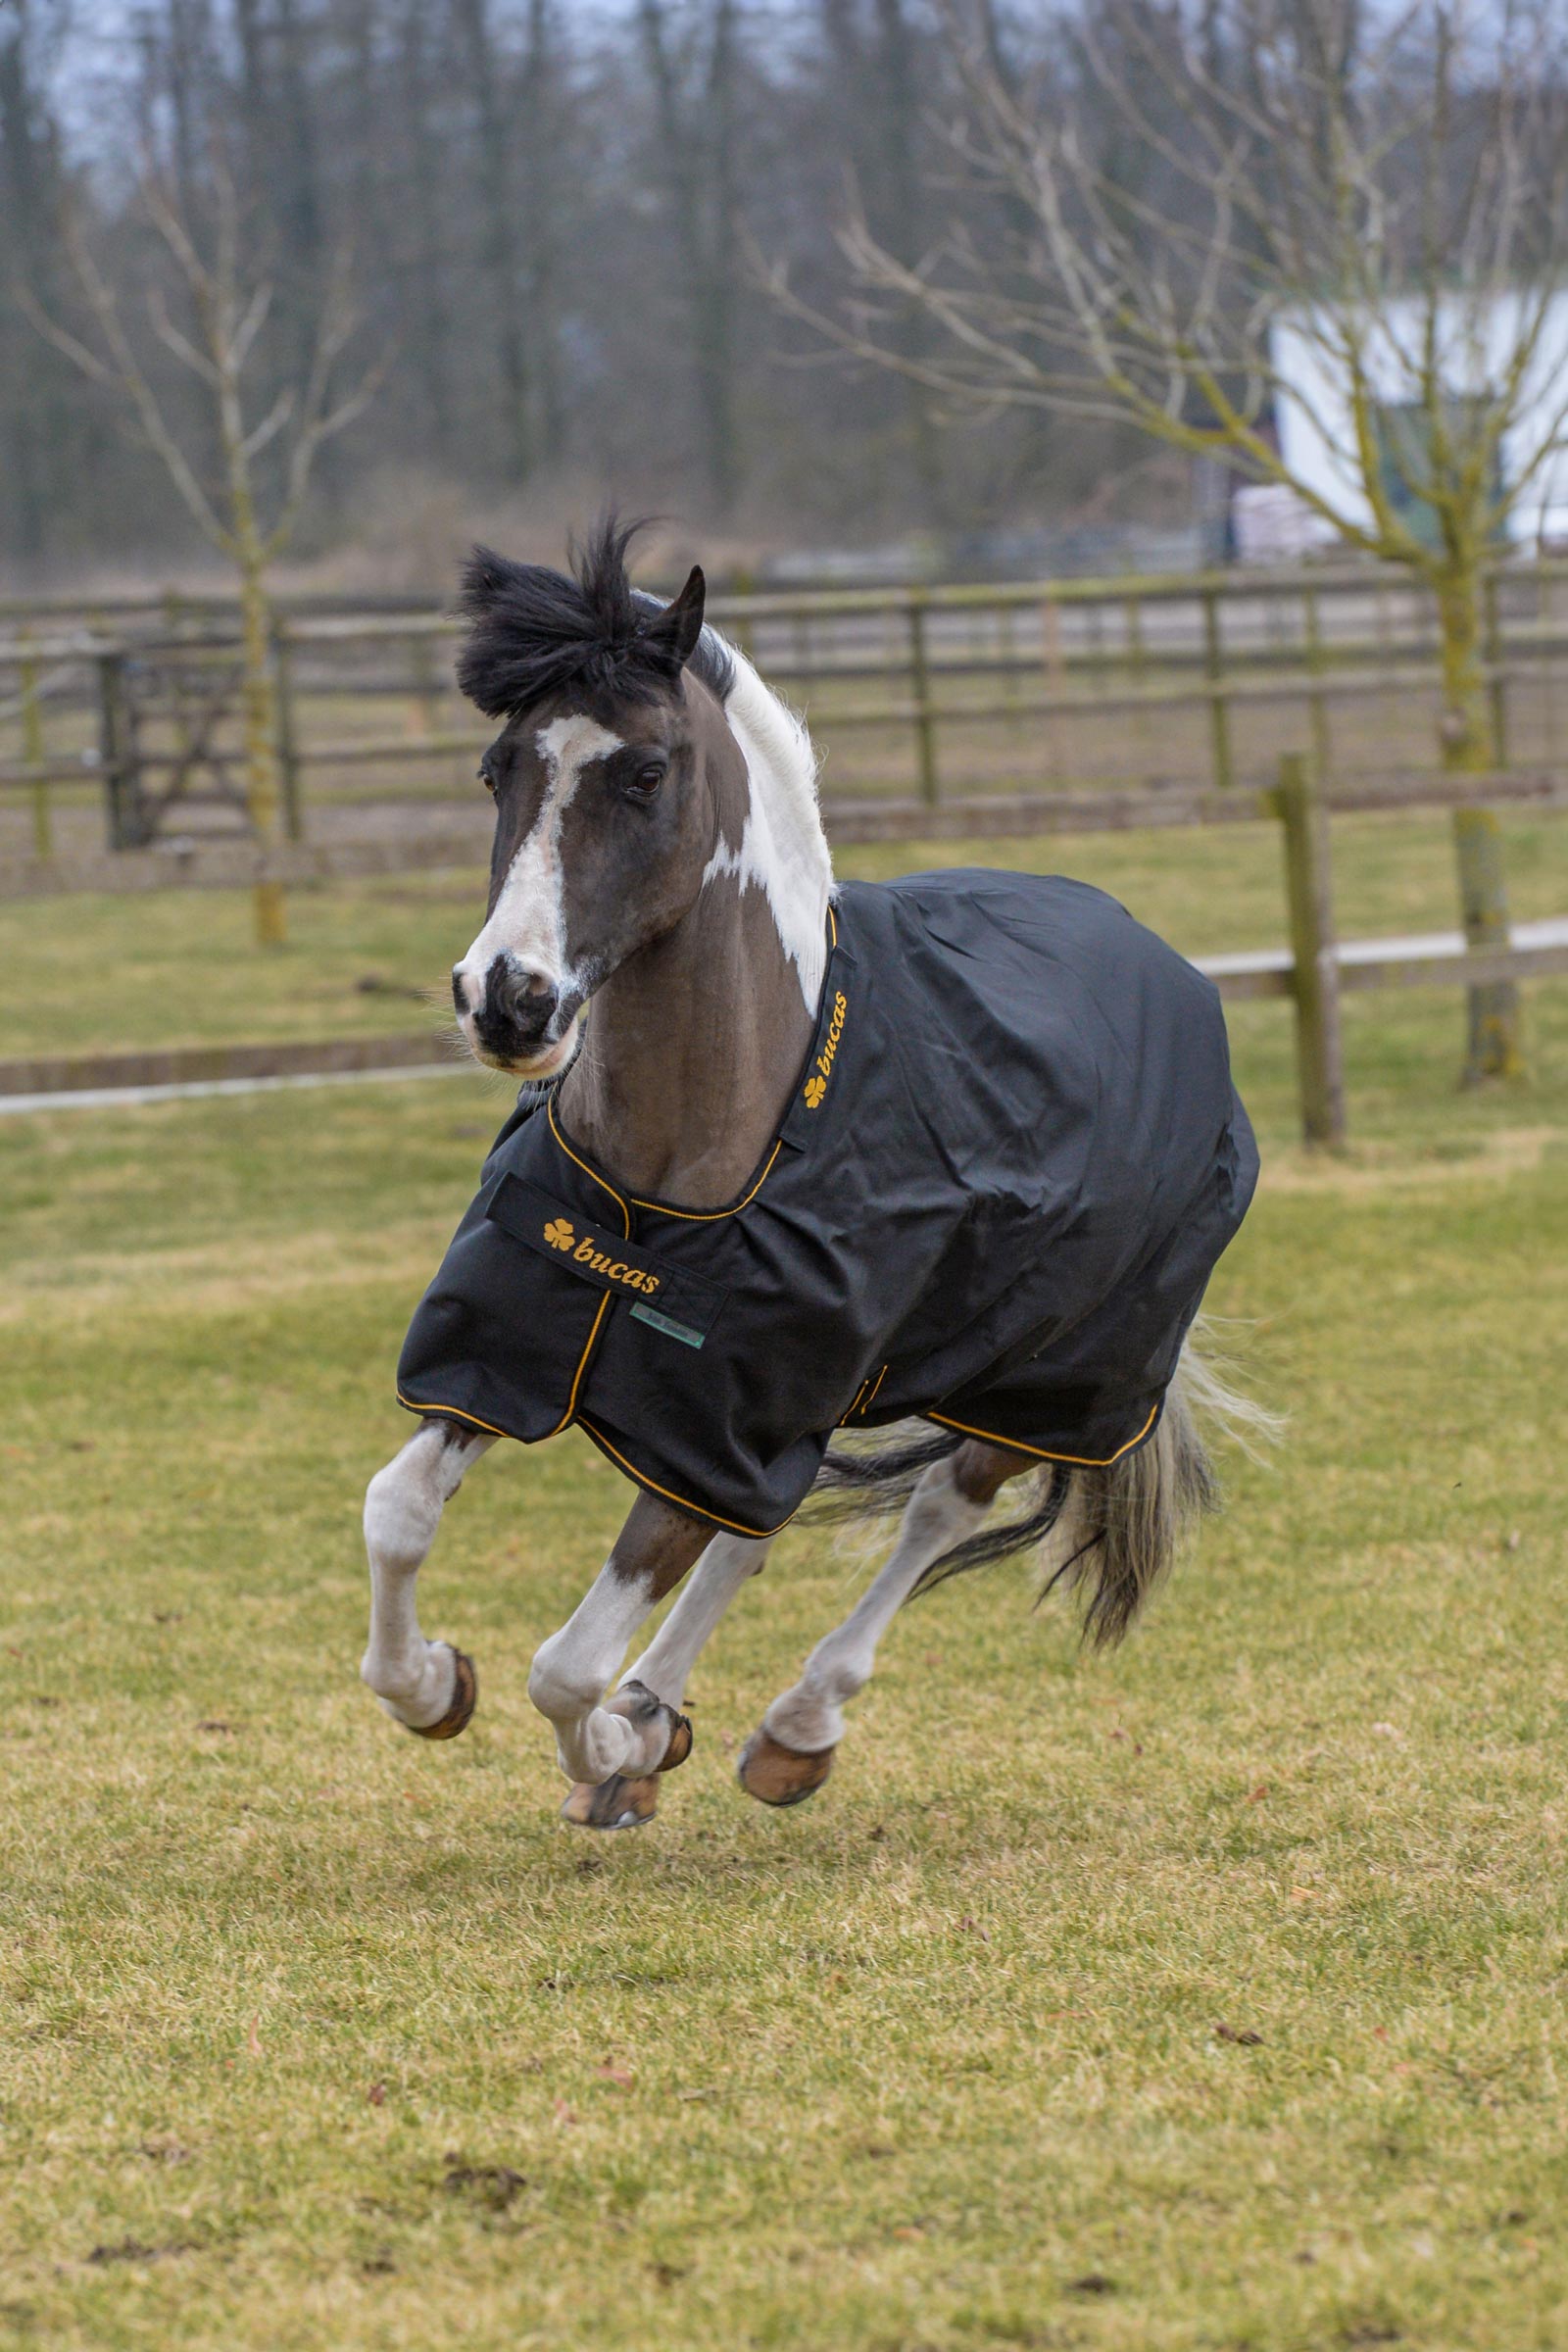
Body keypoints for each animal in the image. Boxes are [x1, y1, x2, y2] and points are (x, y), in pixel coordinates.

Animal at [359, 521, 1266, 1830]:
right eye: (498, 770)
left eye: (644, 775)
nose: (508, 1001)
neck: (672, 1187)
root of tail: (1165, 964)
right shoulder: (523, 1363)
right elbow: (399, 1515)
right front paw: (439, 1687)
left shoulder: (713, 1428)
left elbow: (565, 1666)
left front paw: (611, 1748)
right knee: (758, 1534)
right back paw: (662, 1716)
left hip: (1052, 1380)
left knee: (938, 1509)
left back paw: (791, 1727)